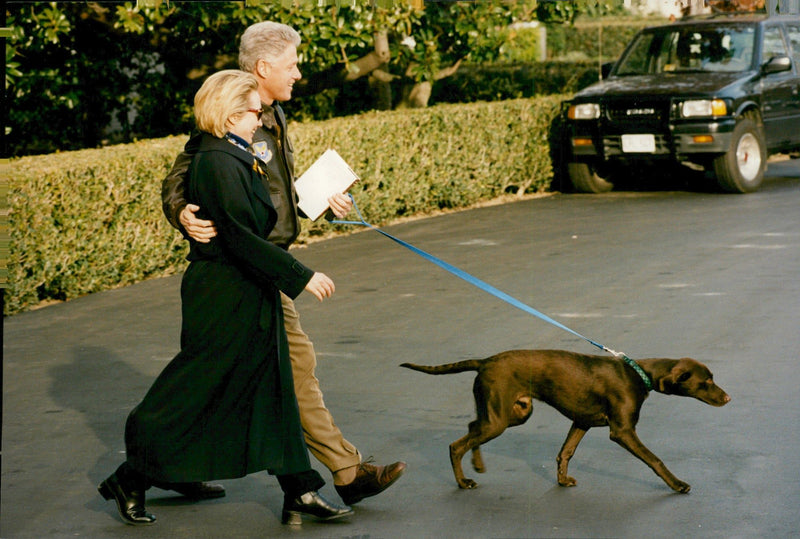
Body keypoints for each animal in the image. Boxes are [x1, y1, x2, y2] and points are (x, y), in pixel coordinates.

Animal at [400, 350, 732, 494]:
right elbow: (655, 459)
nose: (728, 398)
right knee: (456, 445)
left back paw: (478, 465)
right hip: (499, 419)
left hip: (511, 414)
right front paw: (677, 484)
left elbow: (565, 453)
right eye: (706, 382)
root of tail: (484, 361)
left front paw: (561, 480)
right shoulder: (622, 432)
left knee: (471, 429)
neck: (639, 374)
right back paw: (463, 481)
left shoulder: (581, 421)